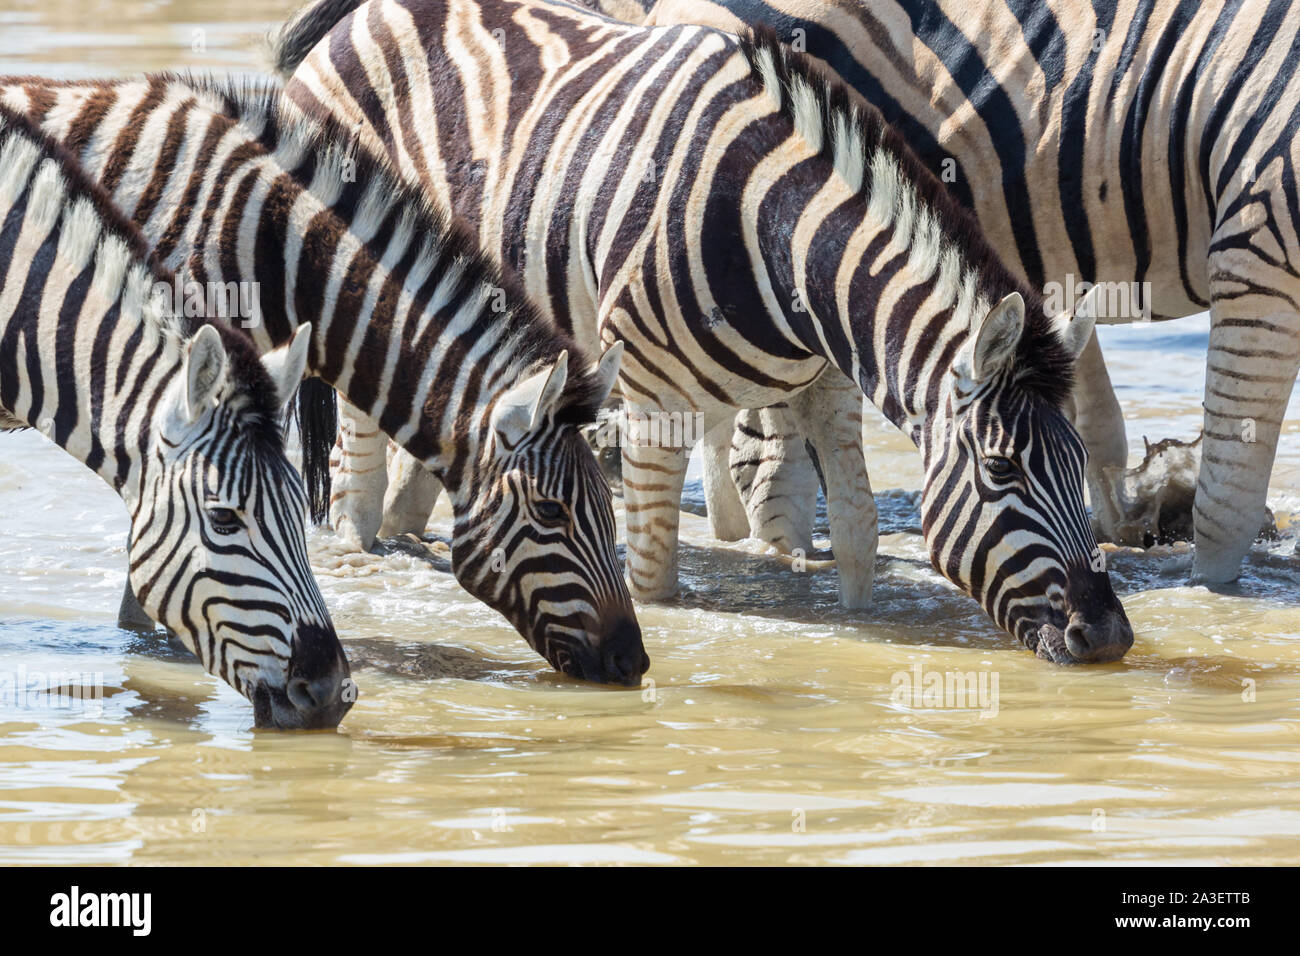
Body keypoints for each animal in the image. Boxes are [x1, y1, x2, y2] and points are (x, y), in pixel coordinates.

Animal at [277, 0, 1134, 662]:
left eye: (1075, 464)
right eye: (1002, 470)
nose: (1109, 637)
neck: (780, 242)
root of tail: (359, 14)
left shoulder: (829, 387)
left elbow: (856, 527)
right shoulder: (652, 402)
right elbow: (652, 572)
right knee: (357, 468)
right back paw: (362, 548)